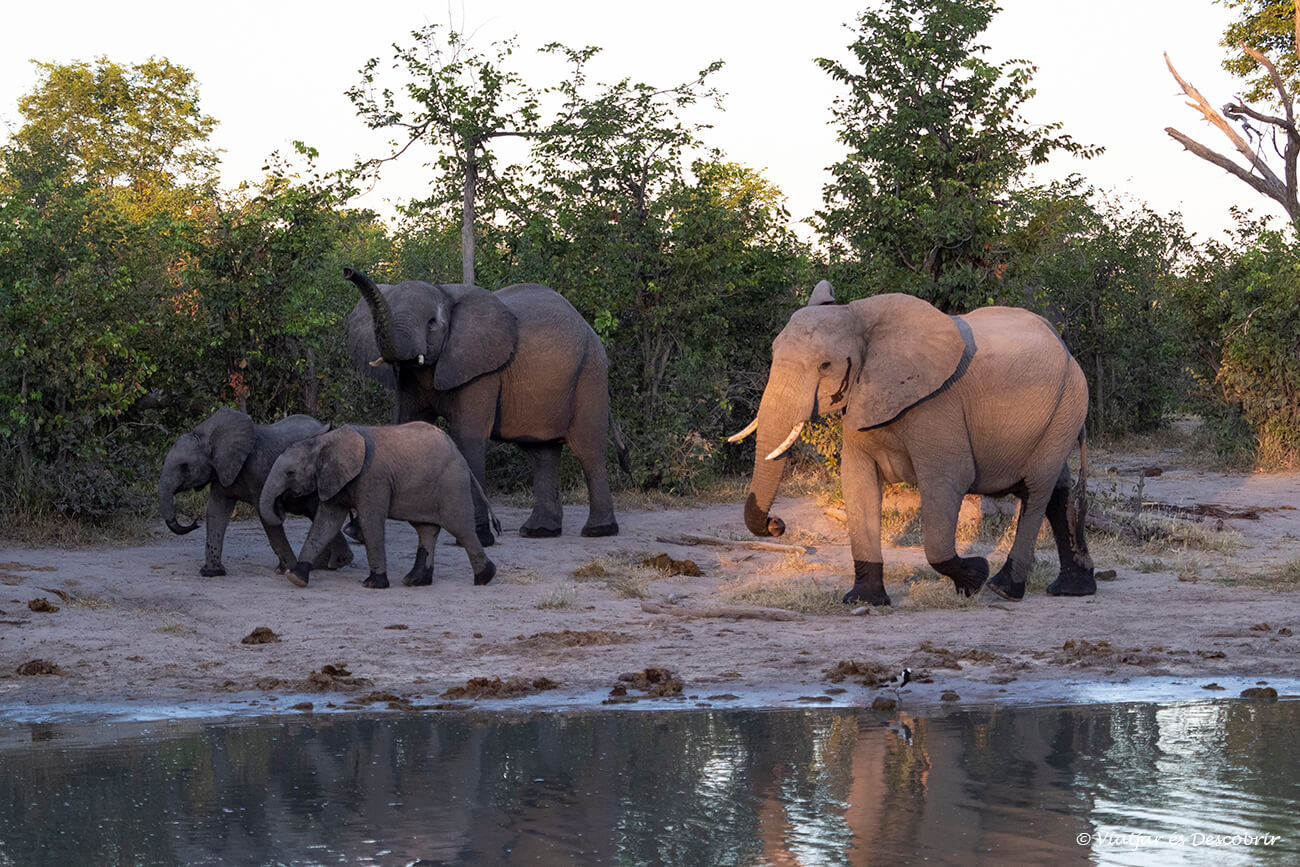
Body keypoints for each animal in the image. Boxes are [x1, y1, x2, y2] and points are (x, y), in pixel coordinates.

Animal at [158, 408, 354, 577]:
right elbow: (215, 511)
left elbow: (266, 517)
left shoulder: (259, 471)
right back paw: (326, 564)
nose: (194, 523)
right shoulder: (223, 472)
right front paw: (211, 573)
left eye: (184, 467)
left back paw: (334, 563)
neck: (207, 435)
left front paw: (287, 571)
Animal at [259, 422, 498, 590]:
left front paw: (372, 584)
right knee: (426, 530)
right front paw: (296, 578)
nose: (281, 504)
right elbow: (325, 523)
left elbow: (370, 521)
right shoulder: (334, 481)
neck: (324, 442)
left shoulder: (372, 478)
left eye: (290, 473)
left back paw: (485, 577)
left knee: (461, 528)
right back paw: (414, 581)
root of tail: (460, 456)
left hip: (452, 484)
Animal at [344, 267, 628, 544]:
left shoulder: (481, 371)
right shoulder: (410, 378)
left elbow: (468, 438)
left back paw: (598, 531)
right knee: (542, 454)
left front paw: (479, 537)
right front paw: (357, 534)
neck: (444, 293)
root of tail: (587, 326)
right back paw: (539, 532)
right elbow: (405, 428)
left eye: (432, 323)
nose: (347, 271)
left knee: (587, 449)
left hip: (589, 375)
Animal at [732, 280, 1095, 606]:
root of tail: (1064, 346)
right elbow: (858, 484)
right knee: (1058, 491)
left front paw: (974, 578)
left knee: (1036, 490)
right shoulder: (862, 400)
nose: (776, 524)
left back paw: (1003, 588)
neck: (859, 318)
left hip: (1067, 405)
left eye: (825, 365)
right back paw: (1073, 589)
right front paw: (863, 600)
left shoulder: (937, 406)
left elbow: (948, 482)